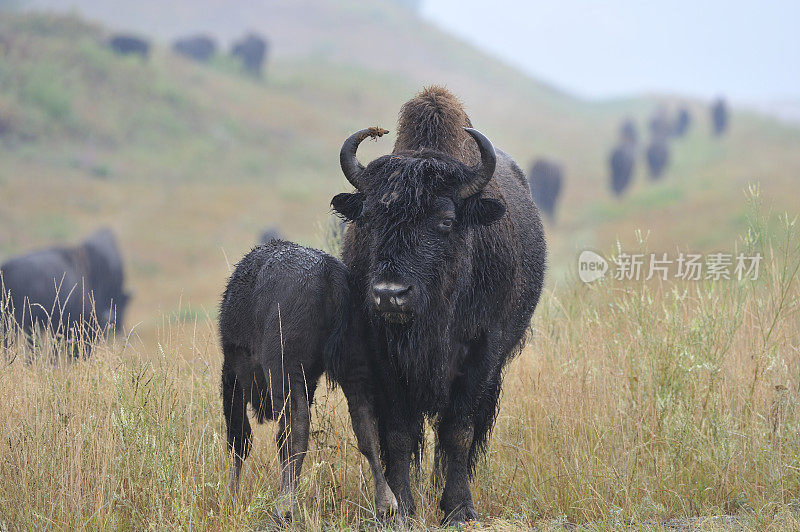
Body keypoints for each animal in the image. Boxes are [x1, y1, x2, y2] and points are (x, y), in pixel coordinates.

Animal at [219, 242, 396, 524]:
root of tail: (330, 273)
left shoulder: (233, 373)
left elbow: (239, 438)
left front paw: (230, 497)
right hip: (354, 366)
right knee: (366, 429)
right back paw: (386, 506)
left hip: (283, 370)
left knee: (294, 432)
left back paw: (283, 508)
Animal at [328, 87, 548, 524]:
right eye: (369, 219)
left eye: (445, 220)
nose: (389, 293)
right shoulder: (383, 359)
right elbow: (398, 433)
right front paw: (400, 508)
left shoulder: (481, 355)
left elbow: (458, 431)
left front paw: (459, 508)